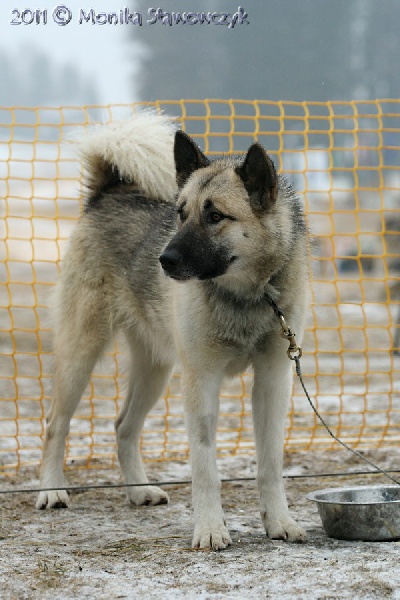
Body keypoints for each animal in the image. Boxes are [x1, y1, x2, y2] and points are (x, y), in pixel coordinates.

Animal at [36, 111, 310, 548]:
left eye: (215, 216)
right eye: (180, 213)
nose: (164, 260)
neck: (247, 295)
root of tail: (108, 193)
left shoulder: (272, 380)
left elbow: (270, 463)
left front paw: (280, 522)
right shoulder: (201, 380)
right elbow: (205, 467)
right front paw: (211, 529)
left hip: (155, 370)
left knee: (123, 426)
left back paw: (139, 491)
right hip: (81, 353)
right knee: (55, 425)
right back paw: (51, 490)